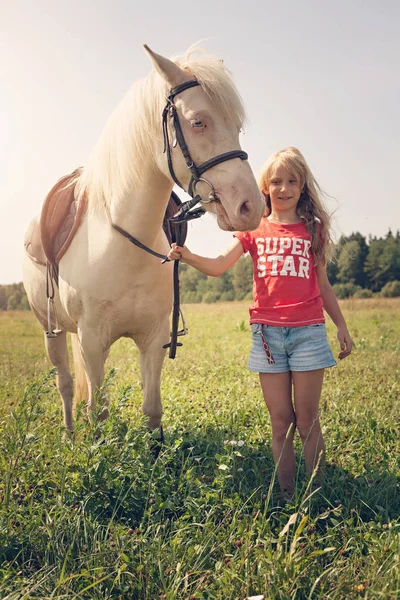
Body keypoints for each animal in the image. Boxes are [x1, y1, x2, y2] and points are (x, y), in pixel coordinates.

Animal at [22, 44, 266, 434]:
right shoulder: (92, 341)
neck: (122, 246)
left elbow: (151, 410)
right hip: (52, 331)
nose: (251, 206)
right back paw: (69, 434)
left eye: (237, 125)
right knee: (65, 383)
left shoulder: (153, 339)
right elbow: (99, 412)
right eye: (198, 122)